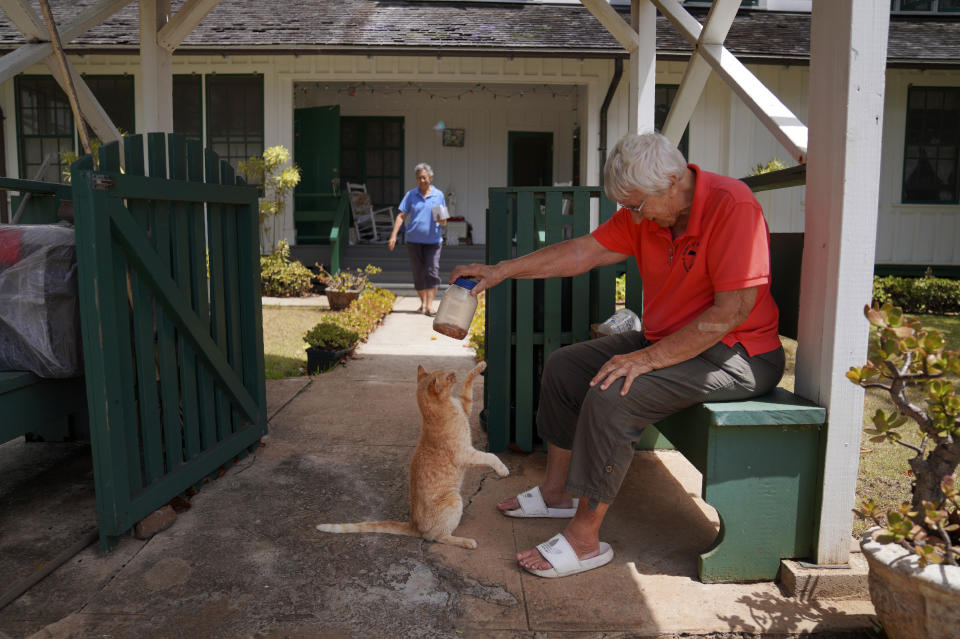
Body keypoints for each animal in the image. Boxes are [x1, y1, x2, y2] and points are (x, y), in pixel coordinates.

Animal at [316, 360, 510, 552]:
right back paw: (465, 541)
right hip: (454, 499)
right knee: (437, 537)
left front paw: (480, 366)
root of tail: (413, 525)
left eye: (447, 371)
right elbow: (491, 456)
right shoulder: (465, 453)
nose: (454, 373)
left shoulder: (465, 405)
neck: (443, 408)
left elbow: (468, 383)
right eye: (448, 377)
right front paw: (503, 470)